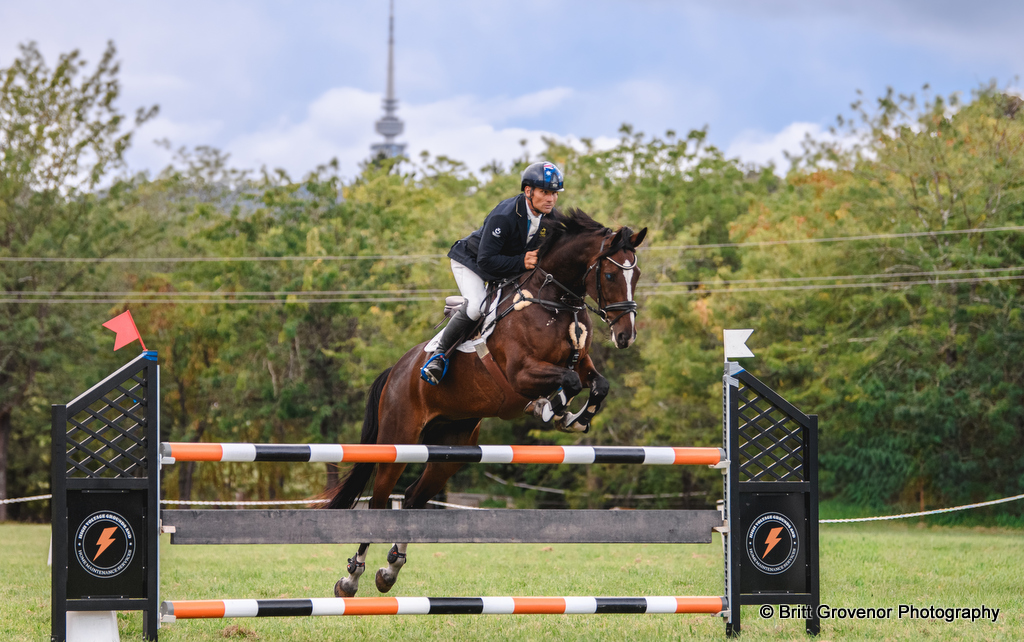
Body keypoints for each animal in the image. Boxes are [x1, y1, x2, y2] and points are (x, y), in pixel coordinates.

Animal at [322, 208, 647, 597]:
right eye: (611, 274)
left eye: (636, 275)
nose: (625, 335)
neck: (556, 302)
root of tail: (397, 370)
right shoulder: (521, 372)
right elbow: (565, 382)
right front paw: (549, 408)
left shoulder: (580, 362)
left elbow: (599, 384)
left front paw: (574, 418)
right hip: (398, 438)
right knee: (379, 501)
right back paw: (350, 578)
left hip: (451, 447)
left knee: (414, 498)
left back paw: (390, 570)